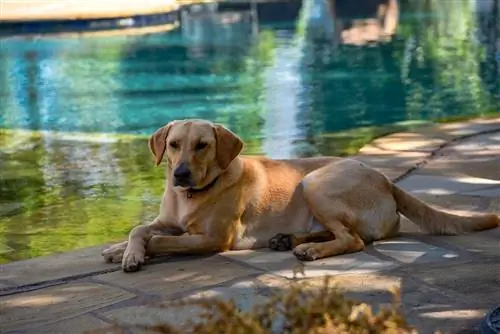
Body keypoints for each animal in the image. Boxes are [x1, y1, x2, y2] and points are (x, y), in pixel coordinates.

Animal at [100, 118, 496, 272]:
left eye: (202, 146)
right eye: (173, 145)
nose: (180, 174)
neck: (192, 197)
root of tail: (385, 179)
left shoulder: (213, 239)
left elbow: (162, 241)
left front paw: (137, 253)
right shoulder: (166, 219)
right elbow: (140, 229)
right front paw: (122, 250)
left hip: (315, 183)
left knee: (353, 240)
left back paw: (310, 250)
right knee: (342, 233)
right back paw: (289, 239)